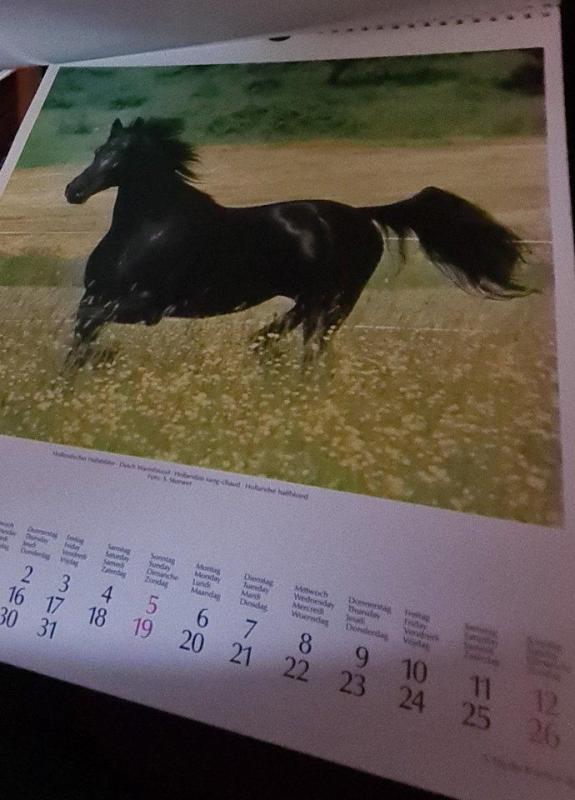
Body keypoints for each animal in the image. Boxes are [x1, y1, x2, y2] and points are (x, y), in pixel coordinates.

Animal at [64, 117, 531, 367]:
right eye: (99, 150)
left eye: (124, 155)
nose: (73, 191)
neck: (149, 229)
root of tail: (361, 214)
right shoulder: (100, 295)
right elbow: (80, 327)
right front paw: (84, 371)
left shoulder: (148, 305)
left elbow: (88, 324)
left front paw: (101, 361)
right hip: (313, 299)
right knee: (287, 337)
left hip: (335, 302)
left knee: (312, 350)